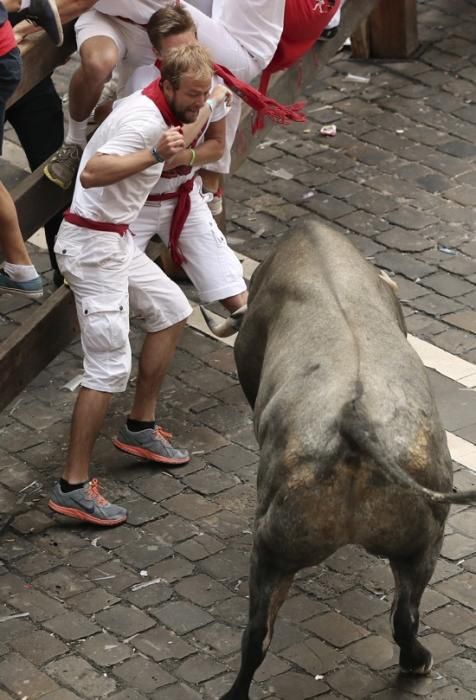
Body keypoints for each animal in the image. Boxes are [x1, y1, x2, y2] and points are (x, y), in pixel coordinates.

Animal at [202, 220, 476, 700]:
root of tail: (354, 421)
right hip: (413, 540)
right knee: (401, 616)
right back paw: (417, 662)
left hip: (287, 547)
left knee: (259, 634)